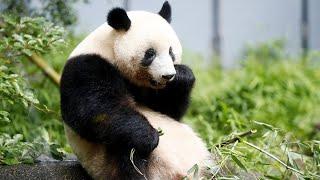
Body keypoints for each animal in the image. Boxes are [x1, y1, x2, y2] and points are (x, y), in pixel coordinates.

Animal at [60, 1, 212, 180]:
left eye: (171, 51)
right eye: (150, 53)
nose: (168, 75)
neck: (110, 47)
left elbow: (170, 111)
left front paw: (182, 76)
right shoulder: (86, 67)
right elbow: (95, 110)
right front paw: (149, 136)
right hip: (106, 161)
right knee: (128, 154)